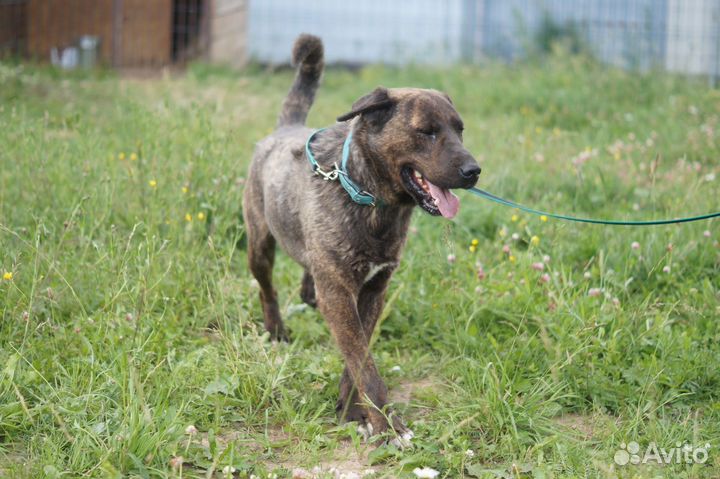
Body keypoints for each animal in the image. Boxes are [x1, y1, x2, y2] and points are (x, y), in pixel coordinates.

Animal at [243, 34, 484, 446]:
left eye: (460, 130)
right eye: (426, 131)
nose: (474, 171)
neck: (371, 199)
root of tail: (287, 127)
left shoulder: (372, 290)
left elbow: (358, 355)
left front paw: (352, 410)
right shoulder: (340, 294)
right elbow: (364, 363)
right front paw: (387, 425)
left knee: (307, 282)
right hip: (259, 244)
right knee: (267, 288)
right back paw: (276, 331)